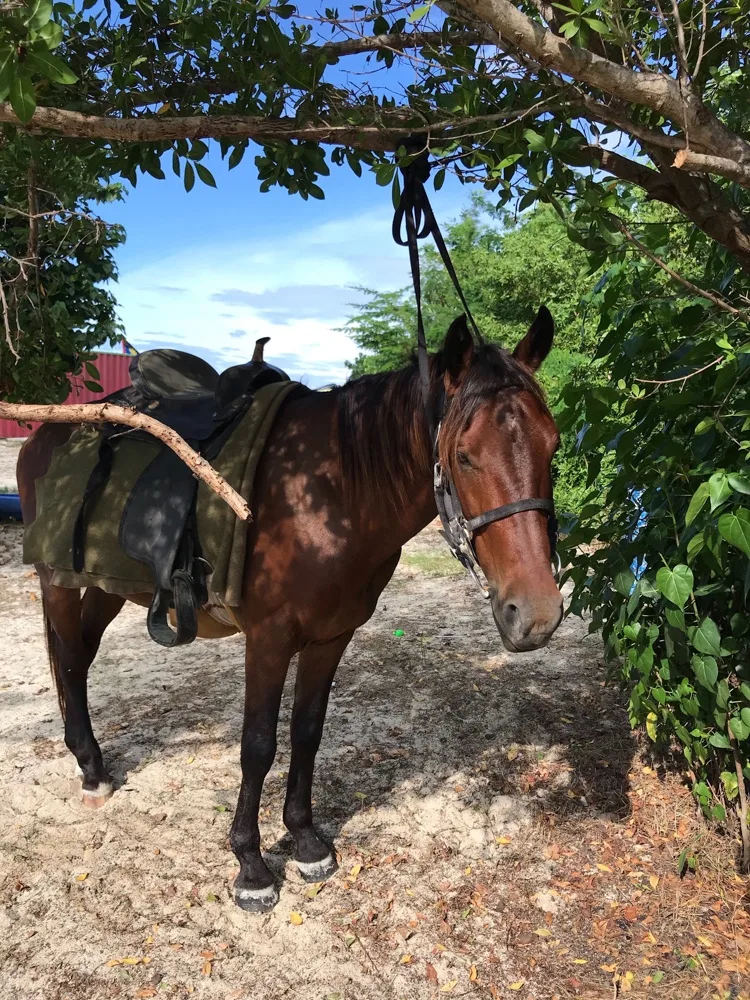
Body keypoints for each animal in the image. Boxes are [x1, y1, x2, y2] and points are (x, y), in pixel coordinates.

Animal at [16, 309, 563, 912]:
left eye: (553, 447)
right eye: (463, 456)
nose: (535, 613)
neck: (330, 493)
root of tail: (44, 433)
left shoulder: (330, 637)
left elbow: (307, 731)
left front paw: (304, 839)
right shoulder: (269, 638)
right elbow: (258, 746)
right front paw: (250, 865)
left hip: (106, 585)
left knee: (81, 658)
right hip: (56, 580)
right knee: (69, 661)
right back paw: (90, 770)